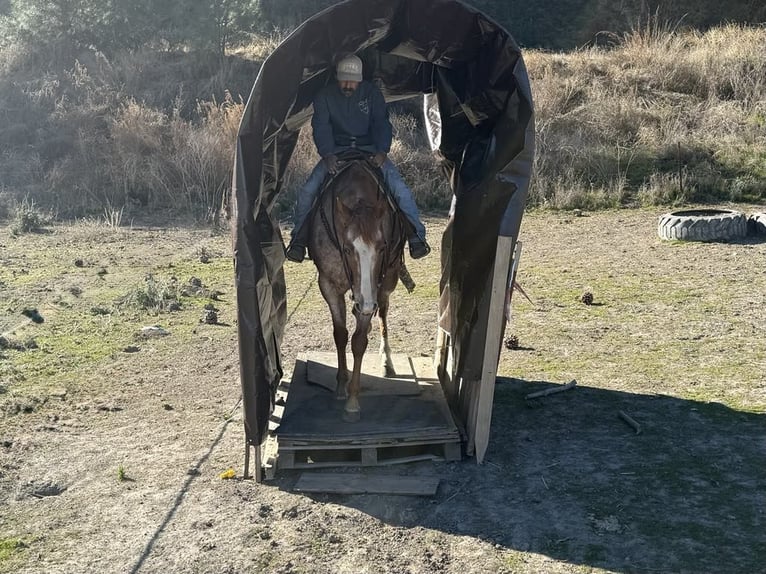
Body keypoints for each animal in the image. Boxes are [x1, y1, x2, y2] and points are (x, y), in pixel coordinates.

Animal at [307, 154, 409, 423]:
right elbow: (341, 335)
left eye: (382, 248)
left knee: (382, 311)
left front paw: (352, 401)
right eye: (347, 248)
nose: (365, 304)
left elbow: (359, 341)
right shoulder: (328, 285)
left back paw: (387, 361)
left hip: (387, 283)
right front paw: (340, 387)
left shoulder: (374, 288)